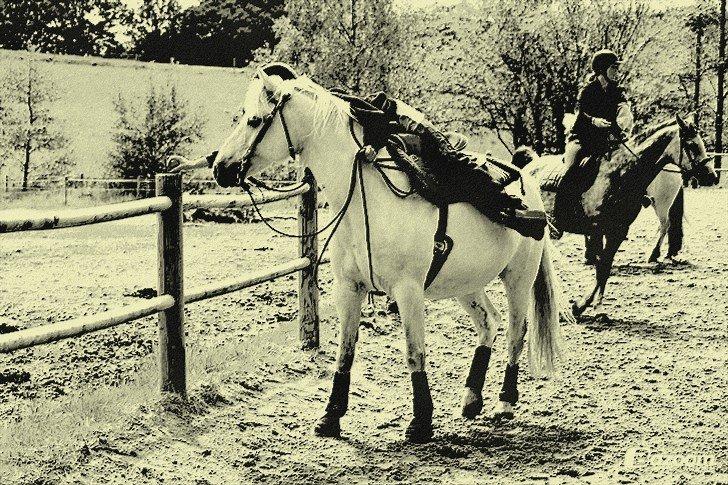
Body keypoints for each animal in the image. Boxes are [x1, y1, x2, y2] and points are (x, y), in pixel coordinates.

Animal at [208, 65, 564, 442]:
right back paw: (471, 399)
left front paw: (421, 423)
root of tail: (527, 183)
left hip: (518, 279)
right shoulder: (349, 288)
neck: (367, 197)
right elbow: (345, 353)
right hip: (466, 285)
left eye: (254, 120)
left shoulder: (408, 291)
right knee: (488, 324)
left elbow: (414, 353)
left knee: (516, 333)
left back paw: (505, 403)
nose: (219, 167)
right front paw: (330, 417)